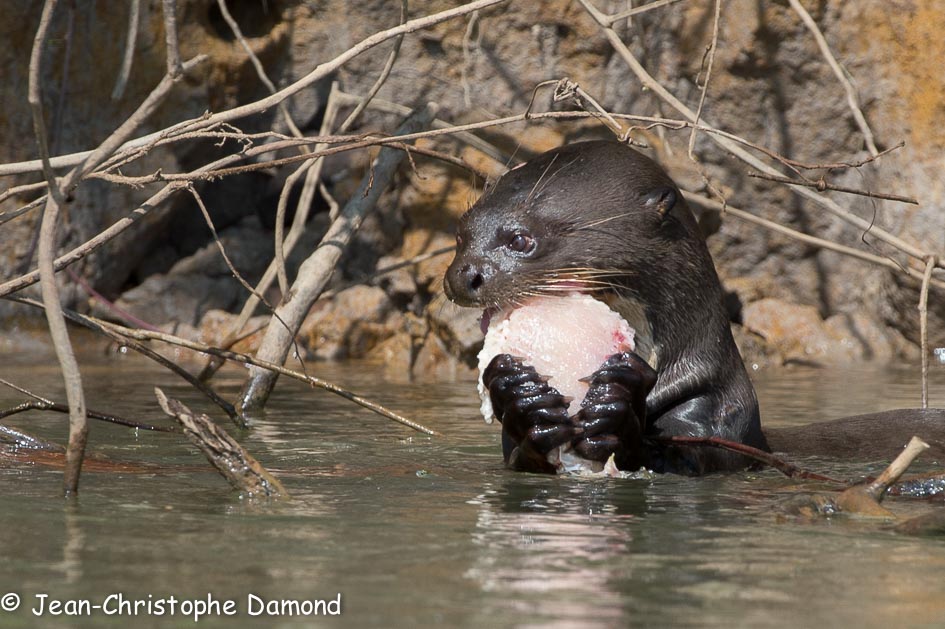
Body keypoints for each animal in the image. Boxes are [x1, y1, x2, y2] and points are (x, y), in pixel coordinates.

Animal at [444, 140, 944, 474]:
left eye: (520, 239)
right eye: (461, 233)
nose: (461, 277)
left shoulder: (714, 411)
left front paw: (617, 405)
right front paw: (520, 397)